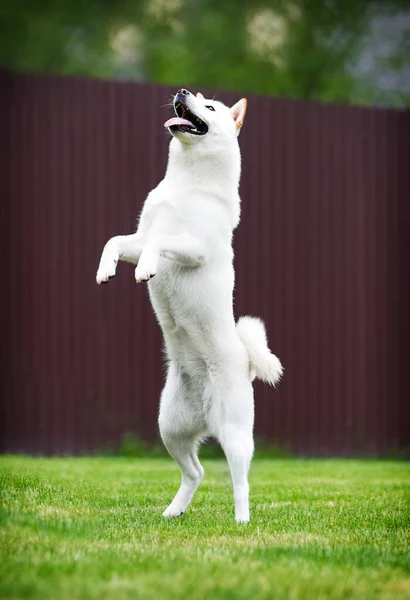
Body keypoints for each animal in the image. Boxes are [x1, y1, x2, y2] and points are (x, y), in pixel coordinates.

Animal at [96, 86, 282, 524]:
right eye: (196, 95)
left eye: (209, 106)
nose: (181, 91)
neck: (186, 182)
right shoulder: (136, 235)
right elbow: (117, 240)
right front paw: (105, 269)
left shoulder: (194, 248)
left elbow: (160, 241)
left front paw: (146, 268)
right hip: (171, 429)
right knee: (195, 471)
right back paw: (173, 510)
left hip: (235, 435)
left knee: (240, 481)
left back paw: (242, 521)